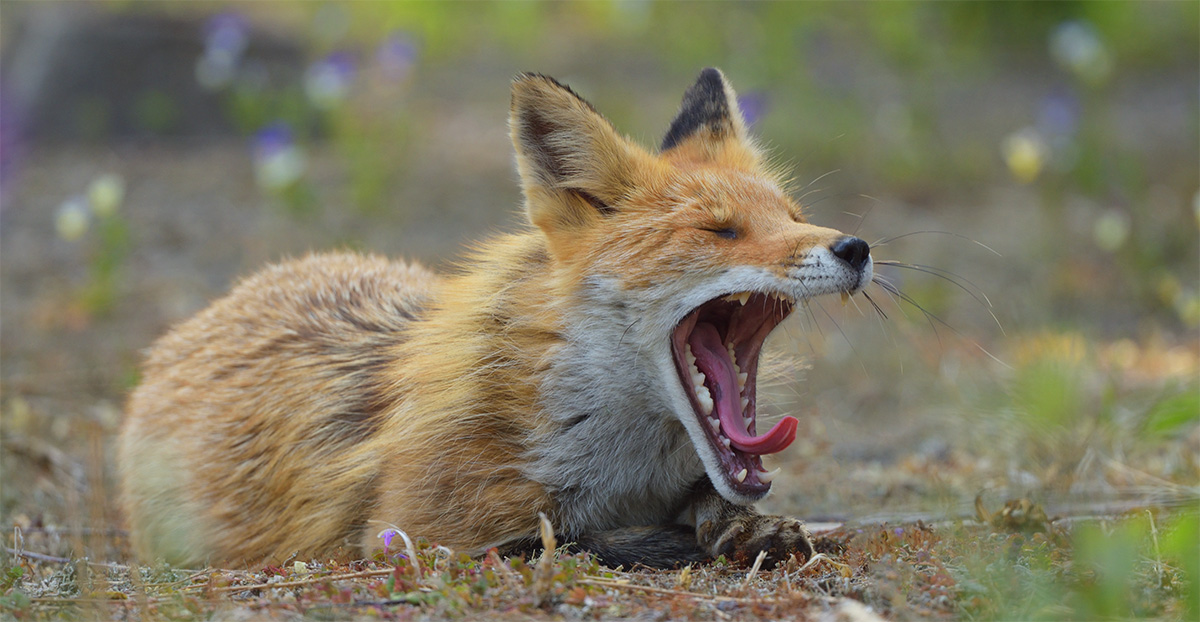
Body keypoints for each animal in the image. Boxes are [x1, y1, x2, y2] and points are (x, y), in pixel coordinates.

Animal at [118, 68, 873, 569]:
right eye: (720, 231)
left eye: (793, 217)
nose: (856, 248)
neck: (619, 466)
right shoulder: (407, 536)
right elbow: (566, 539)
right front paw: (685, 539)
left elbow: (720, 503)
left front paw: (752, 527)